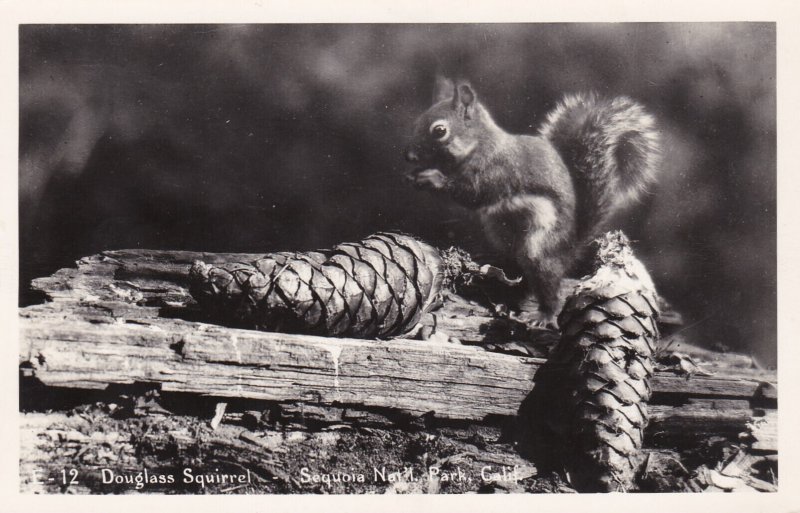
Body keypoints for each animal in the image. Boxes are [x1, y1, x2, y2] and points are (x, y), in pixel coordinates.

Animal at [404, 76, 660, 324]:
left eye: (439, 130)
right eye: (416, 122)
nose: (409, 156)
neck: (479, 144)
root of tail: (569, 246)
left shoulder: (498, 171)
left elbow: (473, 194)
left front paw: (433, 178)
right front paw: (415, 175)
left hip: (540, 246)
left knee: (547, 279)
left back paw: (544, 314)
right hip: (501, 235)